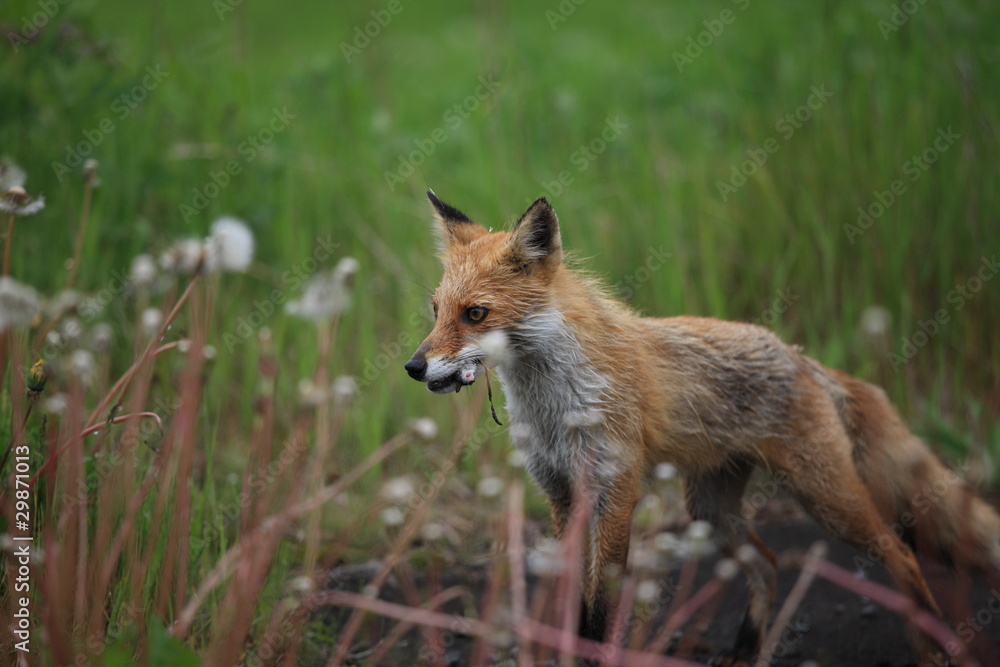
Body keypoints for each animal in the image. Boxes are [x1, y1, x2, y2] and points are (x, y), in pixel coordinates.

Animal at [404, 190, 1000, 664]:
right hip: (711, 509)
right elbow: (574, 605)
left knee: (902, 555)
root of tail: (800, 356)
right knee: (768, 564)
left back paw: (930, 649)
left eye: (475, 314)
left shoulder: (615, 489)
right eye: (435, 311)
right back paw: (746, 651)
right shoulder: (562, 493)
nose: (412, 367)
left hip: (825, 496)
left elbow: (601, 609)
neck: (553, 407)